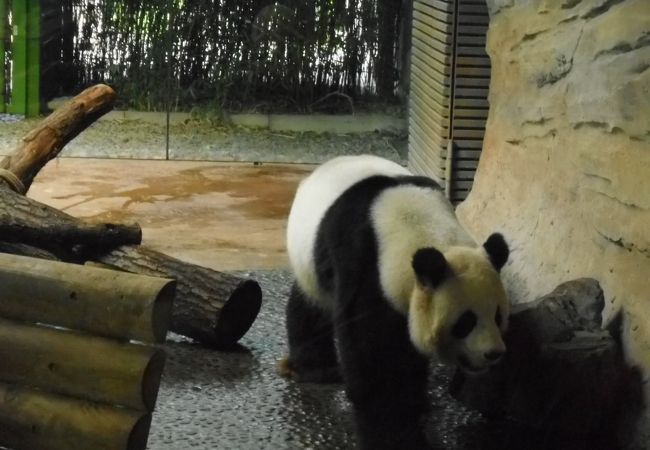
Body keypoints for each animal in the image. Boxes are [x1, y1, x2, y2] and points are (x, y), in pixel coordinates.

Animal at [276, 156, 508, 450]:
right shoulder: (366, 265)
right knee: (312, 310)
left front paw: (416, 401)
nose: (493, 353)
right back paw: (318, 370)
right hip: (309, 258)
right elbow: (374, 358)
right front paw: (396, 434)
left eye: (498, 316)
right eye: (466, 322)